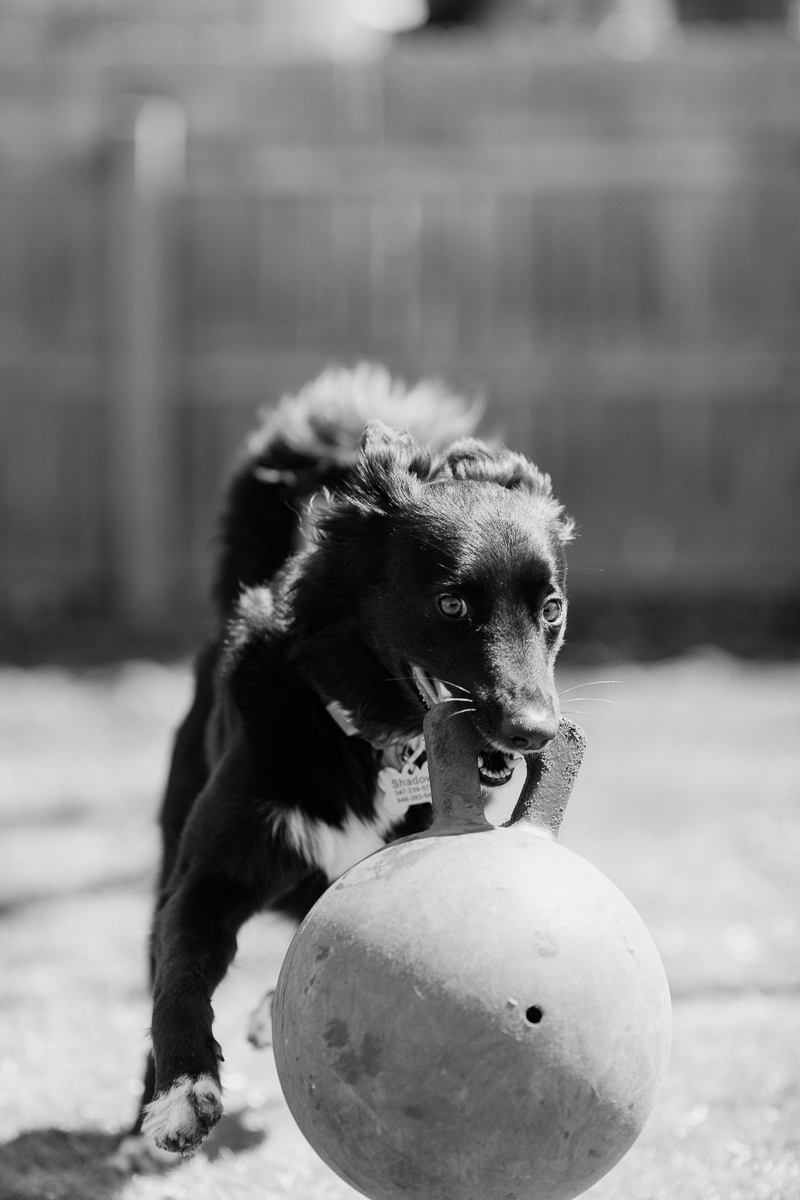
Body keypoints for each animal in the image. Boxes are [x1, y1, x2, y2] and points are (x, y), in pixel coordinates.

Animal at [125, 362, 575, 1152]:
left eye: (550, 609)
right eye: (452, 604)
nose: (535, 732)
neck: (367, 744)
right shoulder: (209, 874)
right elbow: (179, 973)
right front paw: (182, 1090)